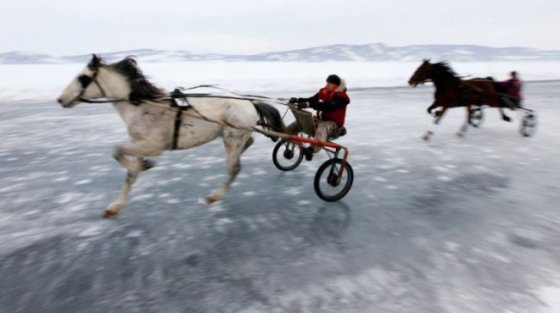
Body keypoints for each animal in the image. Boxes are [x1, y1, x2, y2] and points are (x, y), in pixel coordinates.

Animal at [57, 54, 284, 217]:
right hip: (232, 135)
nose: (60, 99)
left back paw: (215, 196)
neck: (143, 105)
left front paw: (143, 166)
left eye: (83, 78)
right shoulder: (138, 143)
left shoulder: (153, 146)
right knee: (248, 143)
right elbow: (129, 174)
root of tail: (250, 102)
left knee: (234, 168)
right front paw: (116, 205)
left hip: (231, 137)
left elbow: (117, 151)